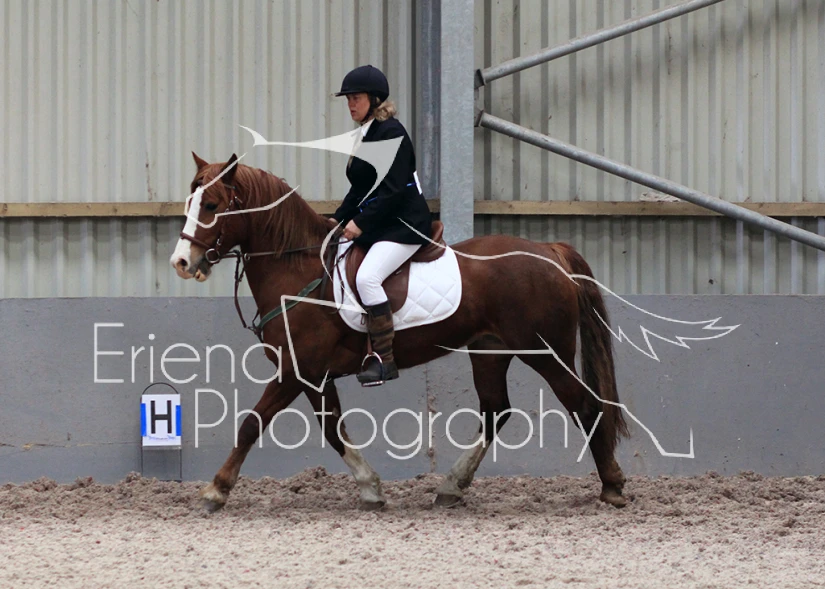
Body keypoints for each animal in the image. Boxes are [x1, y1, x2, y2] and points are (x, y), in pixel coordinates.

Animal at [170, 153, 630, 511]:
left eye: (211, 204)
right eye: (190, 201)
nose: (181, 262)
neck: (298, 267)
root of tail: (549, 251)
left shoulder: (294, 372)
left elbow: (252, 423)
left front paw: (215, 491)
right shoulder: (312, 376)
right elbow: (332, 429)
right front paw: (371, 490)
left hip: (546, 353)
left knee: (585, 406)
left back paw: (611, 486)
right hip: (489, 351)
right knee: (495, 412)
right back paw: (451, 487)